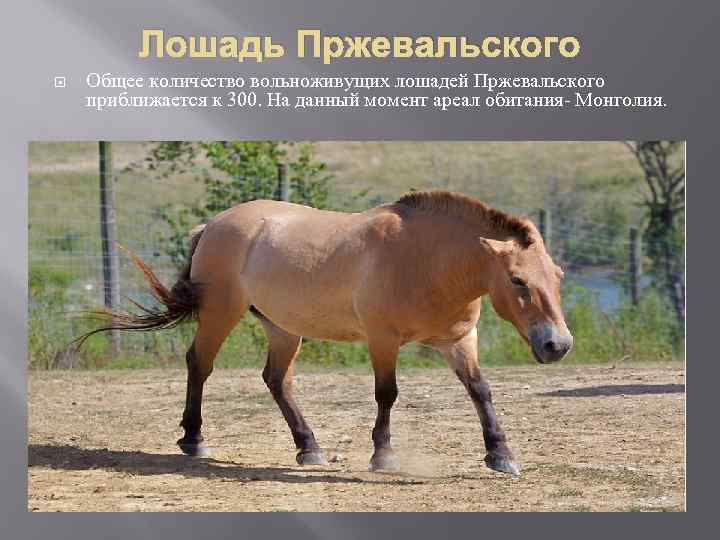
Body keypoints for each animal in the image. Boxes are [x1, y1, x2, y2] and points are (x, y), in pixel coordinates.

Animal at [78, 190, 573, 476]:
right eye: (518, 280)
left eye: (558, 276)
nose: (558, 345)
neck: (427, 260)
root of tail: (213, 224)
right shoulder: (382, 339)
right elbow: (387, 394)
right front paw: (383, 456)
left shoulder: (458, 341)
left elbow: (480, 391)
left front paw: (501, 455)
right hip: (221, 312)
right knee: (200, 364)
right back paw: (194, 441)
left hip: (281, 327)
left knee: (276, 380)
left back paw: (309, 447)